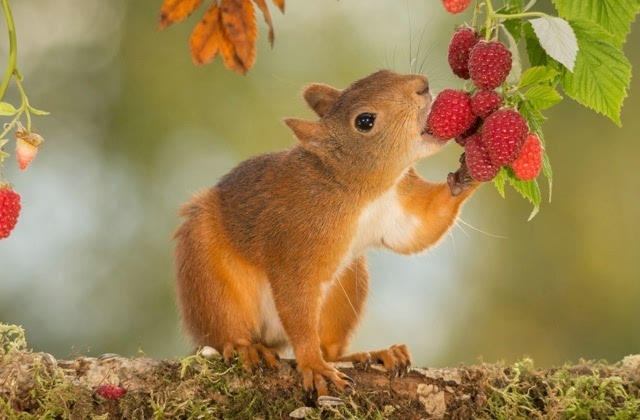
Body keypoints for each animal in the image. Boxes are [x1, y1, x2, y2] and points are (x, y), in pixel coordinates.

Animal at [172, 69, 478, 394]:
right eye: (365, 121)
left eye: (383, 73)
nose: (422, 85)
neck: (361, 191)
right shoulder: (296, 241)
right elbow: (297, 303)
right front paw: (313, 366)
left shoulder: (397, 206)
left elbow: (420, 229)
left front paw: (468, 172)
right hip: (208, 275)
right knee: (224, 330)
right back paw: (246, 347)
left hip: (347, 286)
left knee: (331, 348)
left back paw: (374, 353)